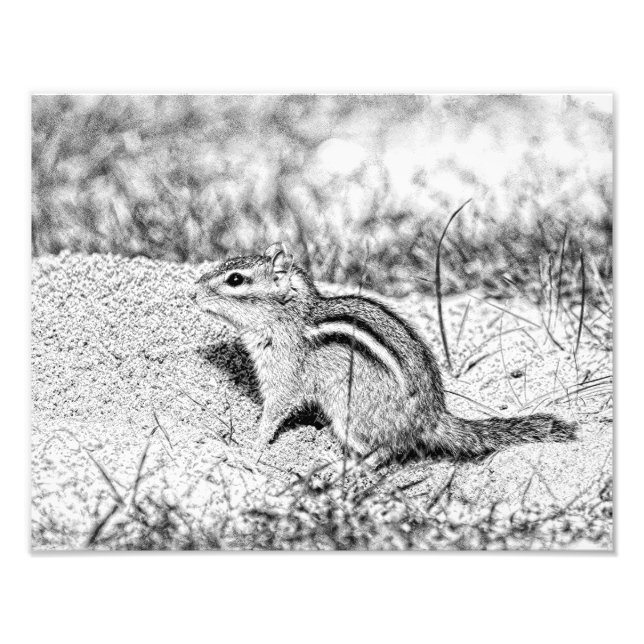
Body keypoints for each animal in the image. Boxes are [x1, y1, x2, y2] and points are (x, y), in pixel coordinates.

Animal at [192, 242, 577, 468]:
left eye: (235, 279)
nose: (192, 293)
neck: (291, 316)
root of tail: (431, 418)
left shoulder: (284, 375)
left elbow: (274, 412)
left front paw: (251, 447)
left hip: (348, 412)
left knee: (388, 450)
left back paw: (347, 469)